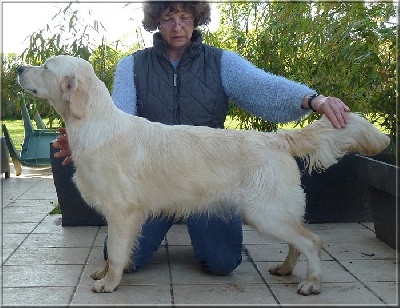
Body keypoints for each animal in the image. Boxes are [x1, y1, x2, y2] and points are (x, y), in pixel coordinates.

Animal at [17, 56, 390, 296]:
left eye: (46, 67)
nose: (18, 68)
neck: (93, 123)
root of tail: (277, 138)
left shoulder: (122, 212)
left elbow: (119, 252)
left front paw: (109, 283)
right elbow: (113, 253)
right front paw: (104, 272)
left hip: (265, 213)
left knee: (311, 241)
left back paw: (311, 282)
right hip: (273, 213)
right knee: (297, 241)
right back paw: (285, 269)